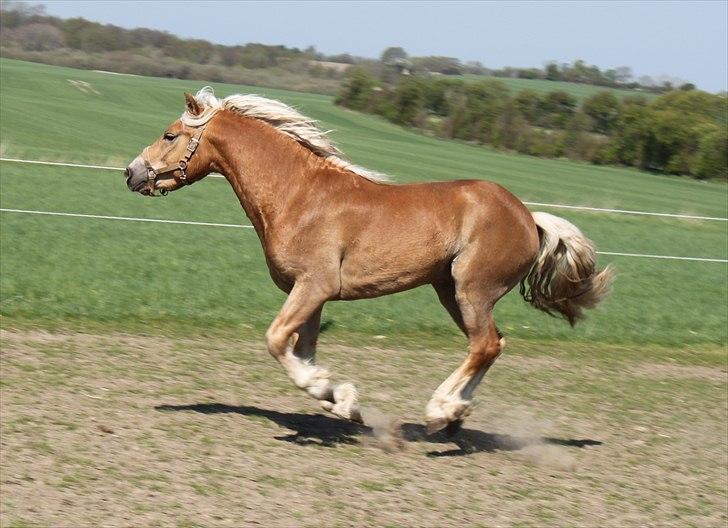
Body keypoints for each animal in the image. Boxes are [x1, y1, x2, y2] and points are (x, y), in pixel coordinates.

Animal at [125, 86, 616, 434]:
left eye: (170, 135)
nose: (131, 173)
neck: (298, 196)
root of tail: (528, 217)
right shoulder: (311, 295)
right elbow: (302, 350)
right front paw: (340, 401)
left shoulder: (315, 286)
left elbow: (277, 341)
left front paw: (329, 392)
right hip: (449, 291)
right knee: (493, 345)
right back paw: (455, 413)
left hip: (471, 290)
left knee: (484, 345)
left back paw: (439, 412)